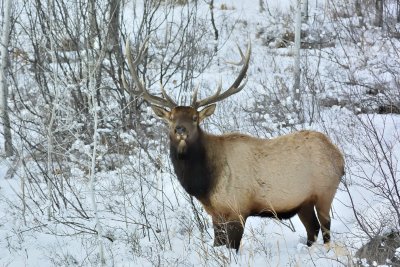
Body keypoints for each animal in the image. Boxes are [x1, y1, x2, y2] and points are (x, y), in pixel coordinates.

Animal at [124, 38, 344, 251]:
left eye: (195, 118)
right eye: (171, 118)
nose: (180, 129)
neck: (204, 183)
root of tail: (339, 156)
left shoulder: (238, 208)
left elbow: (232, 247)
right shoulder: (216, 212)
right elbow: (218, 244)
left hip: (325, 191)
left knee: (325, 227)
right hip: (302, 202)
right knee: (312, 229)